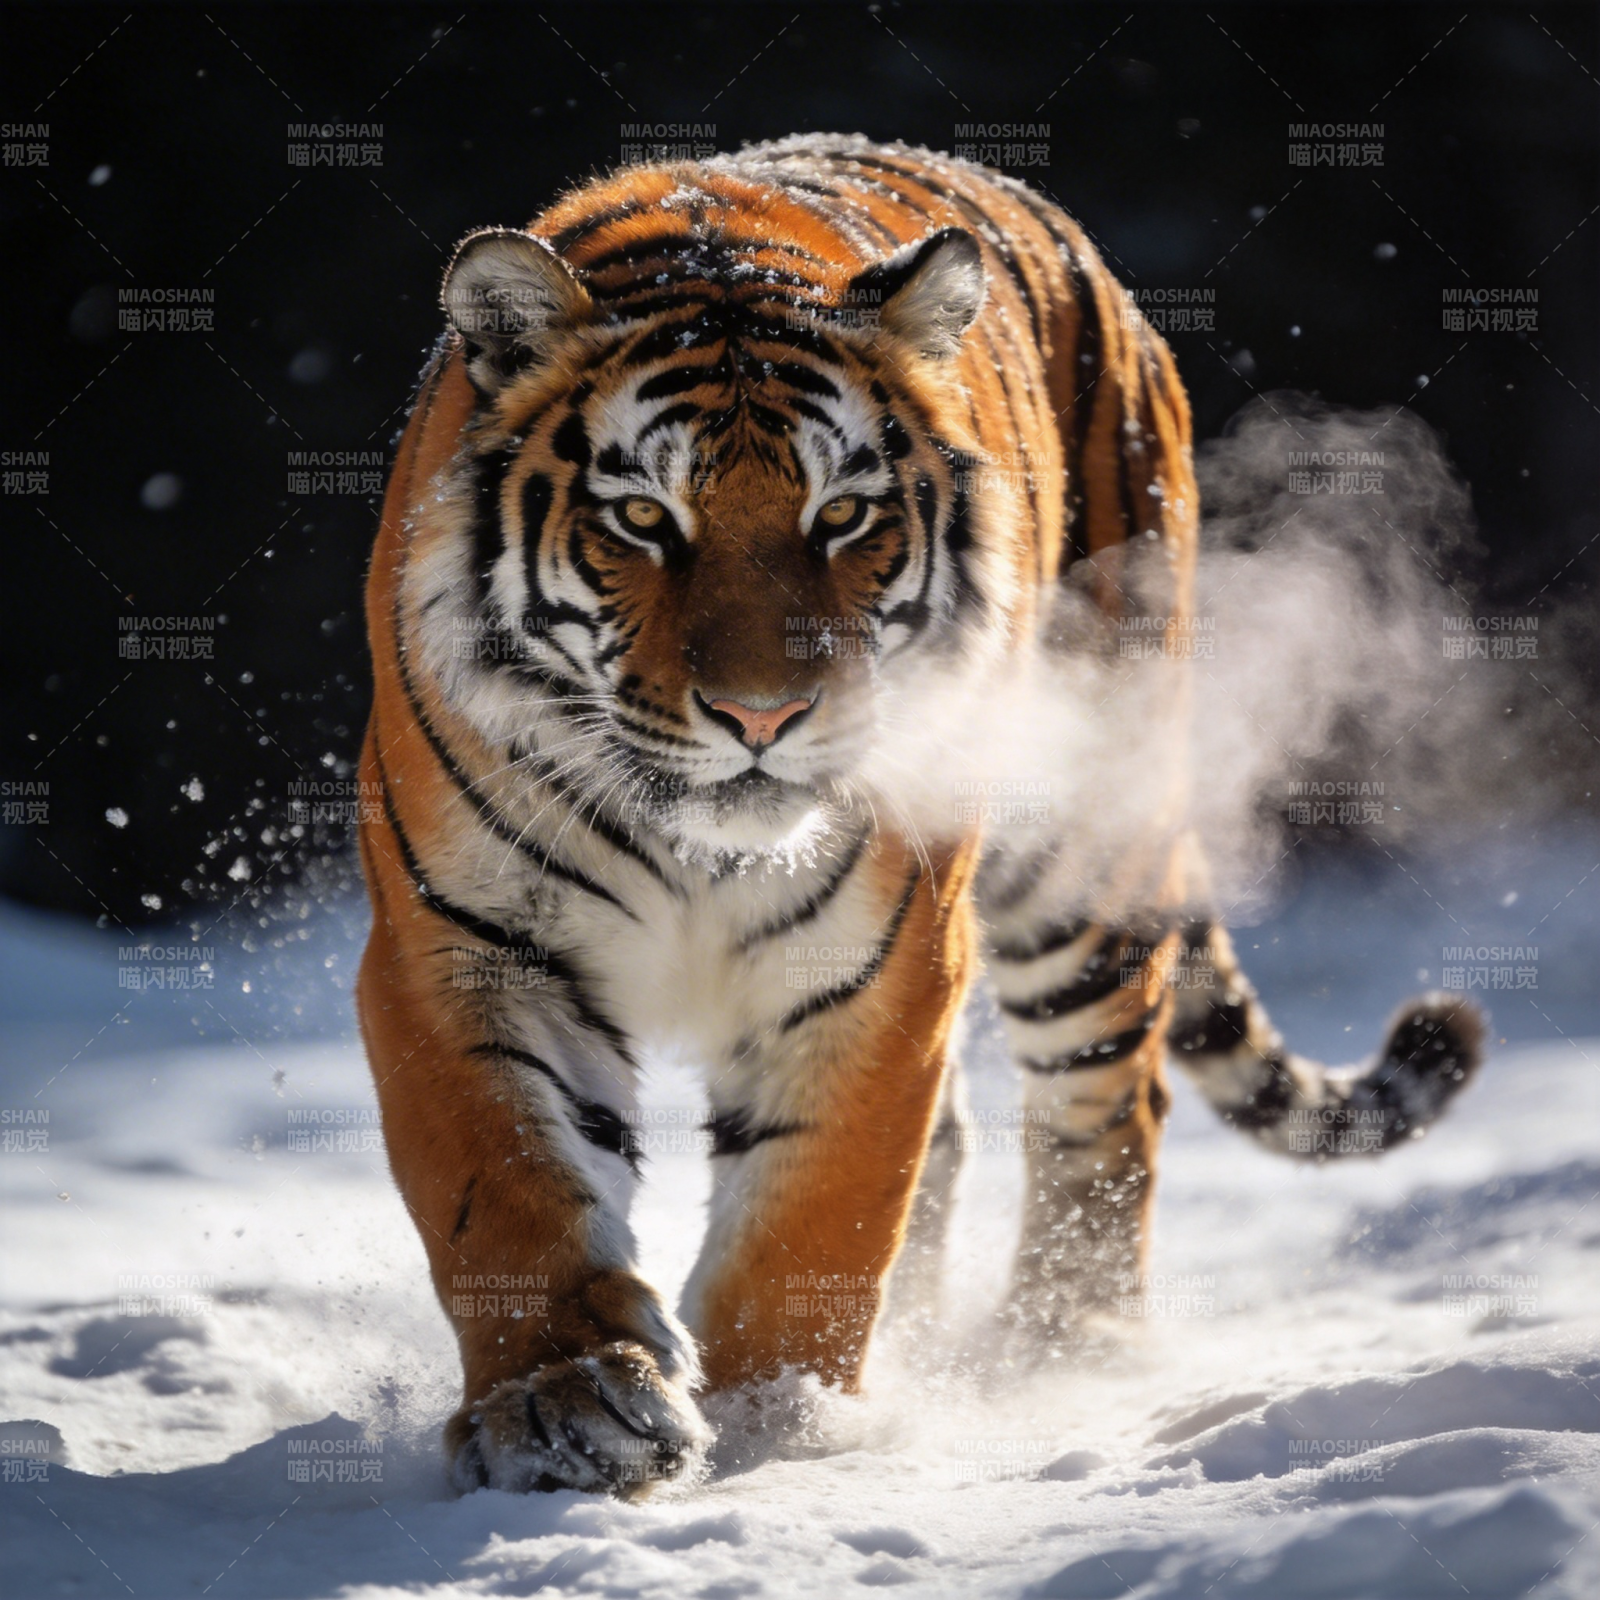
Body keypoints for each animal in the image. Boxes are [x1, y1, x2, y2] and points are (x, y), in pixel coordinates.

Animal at [355, 134, 1483, 1498]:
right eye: (642, 519)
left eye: (841, 516)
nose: (763, 715)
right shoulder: (462, 943)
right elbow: (504, 1186)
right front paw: (562, 1406)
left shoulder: (878, 960)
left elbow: (816, 1213)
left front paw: (775, 1422)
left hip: (1082, 836)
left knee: (1109, 1105)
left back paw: (1063, 1350)